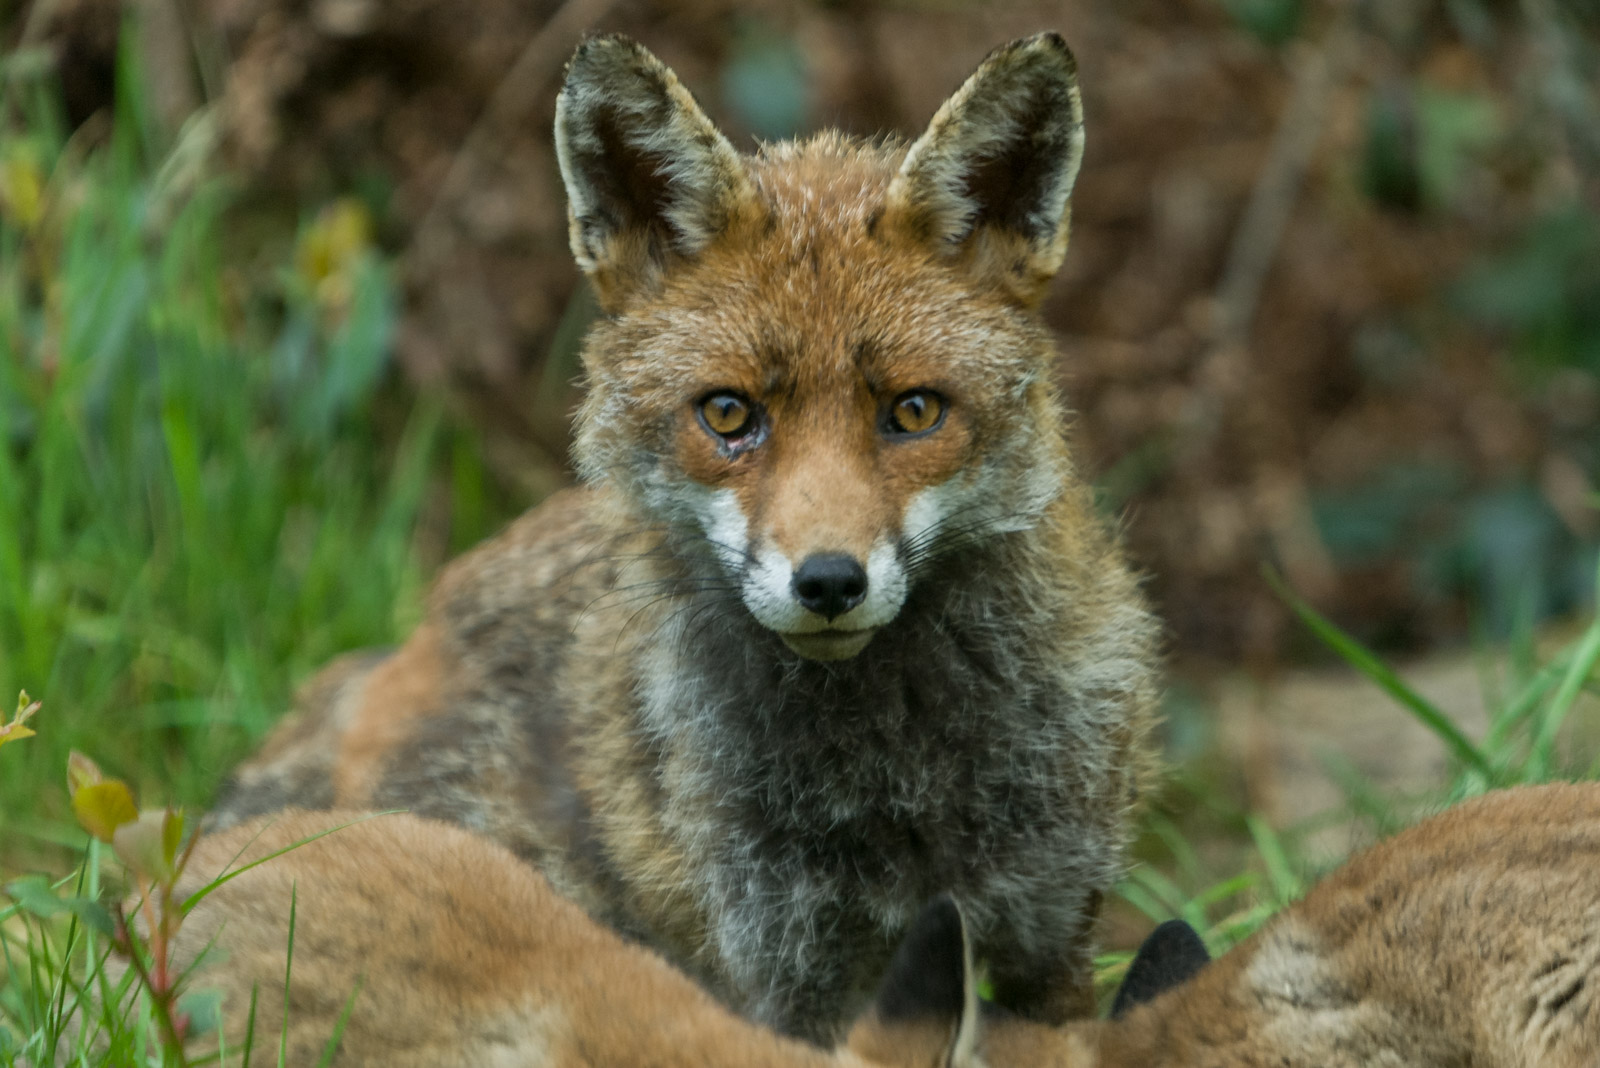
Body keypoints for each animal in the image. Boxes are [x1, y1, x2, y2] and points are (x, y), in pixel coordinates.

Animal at [209, 31, 1162, 1040]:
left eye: (913, 412)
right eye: (728, 414)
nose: (830, 582)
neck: (899, 781)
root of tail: (410, 643)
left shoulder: (1053, 932)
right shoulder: (784, 967)